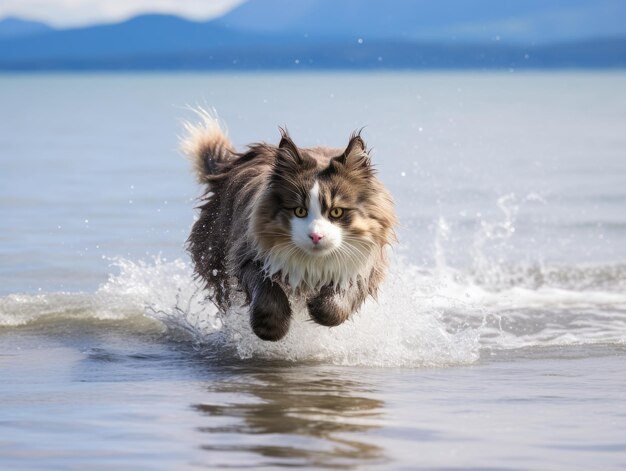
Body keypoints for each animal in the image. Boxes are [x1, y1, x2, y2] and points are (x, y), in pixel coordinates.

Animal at [180, 109, 394, 342]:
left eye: (336, 211)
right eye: (299, 210)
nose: (316, 236)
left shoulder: (367, 260)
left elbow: (348, 287)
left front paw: (319, 307)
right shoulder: (247, 251)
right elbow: (265, 287)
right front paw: (271, 327)